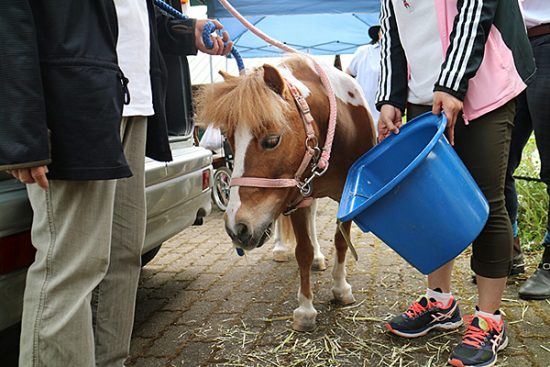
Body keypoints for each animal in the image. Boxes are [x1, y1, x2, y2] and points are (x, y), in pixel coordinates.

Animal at [196, 56, 378, 332]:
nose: (237, 228)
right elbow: (302, 250)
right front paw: (305, 309)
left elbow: (340, 241)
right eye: (229, 139)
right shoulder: (296, 196)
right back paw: (284, 249)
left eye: (272, 140)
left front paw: (340, 289)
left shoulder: (347, 197)